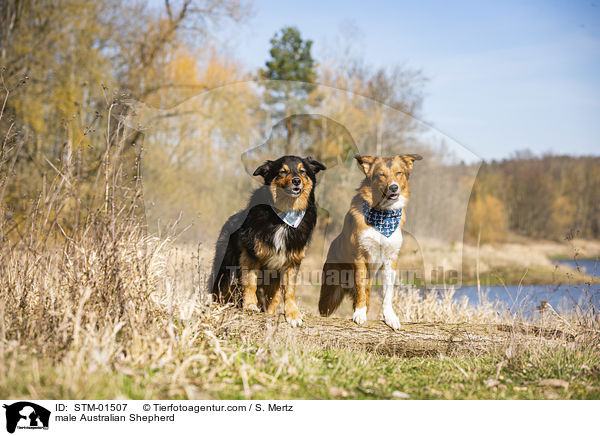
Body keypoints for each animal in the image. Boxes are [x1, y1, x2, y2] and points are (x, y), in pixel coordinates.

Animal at [210, 155, 326, 326]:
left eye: (302, 171)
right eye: (283, 171)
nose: (296, 181)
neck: (284, 218)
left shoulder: (292, 260)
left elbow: (290, 290)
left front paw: (293, 313)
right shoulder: (250, 253)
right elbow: (250, 282)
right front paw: (250, 305)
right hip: (225, 273)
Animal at [318, 153, 422, 328]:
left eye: (399, 172)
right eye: (381, 175)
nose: (394, 187)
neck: (383, 215)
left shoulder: (391, 260)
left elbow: (388, 293)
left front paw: (389, 316)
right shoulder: (359, 257)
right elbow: (360, 287)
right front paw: (359, 313)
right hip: (330, 293)